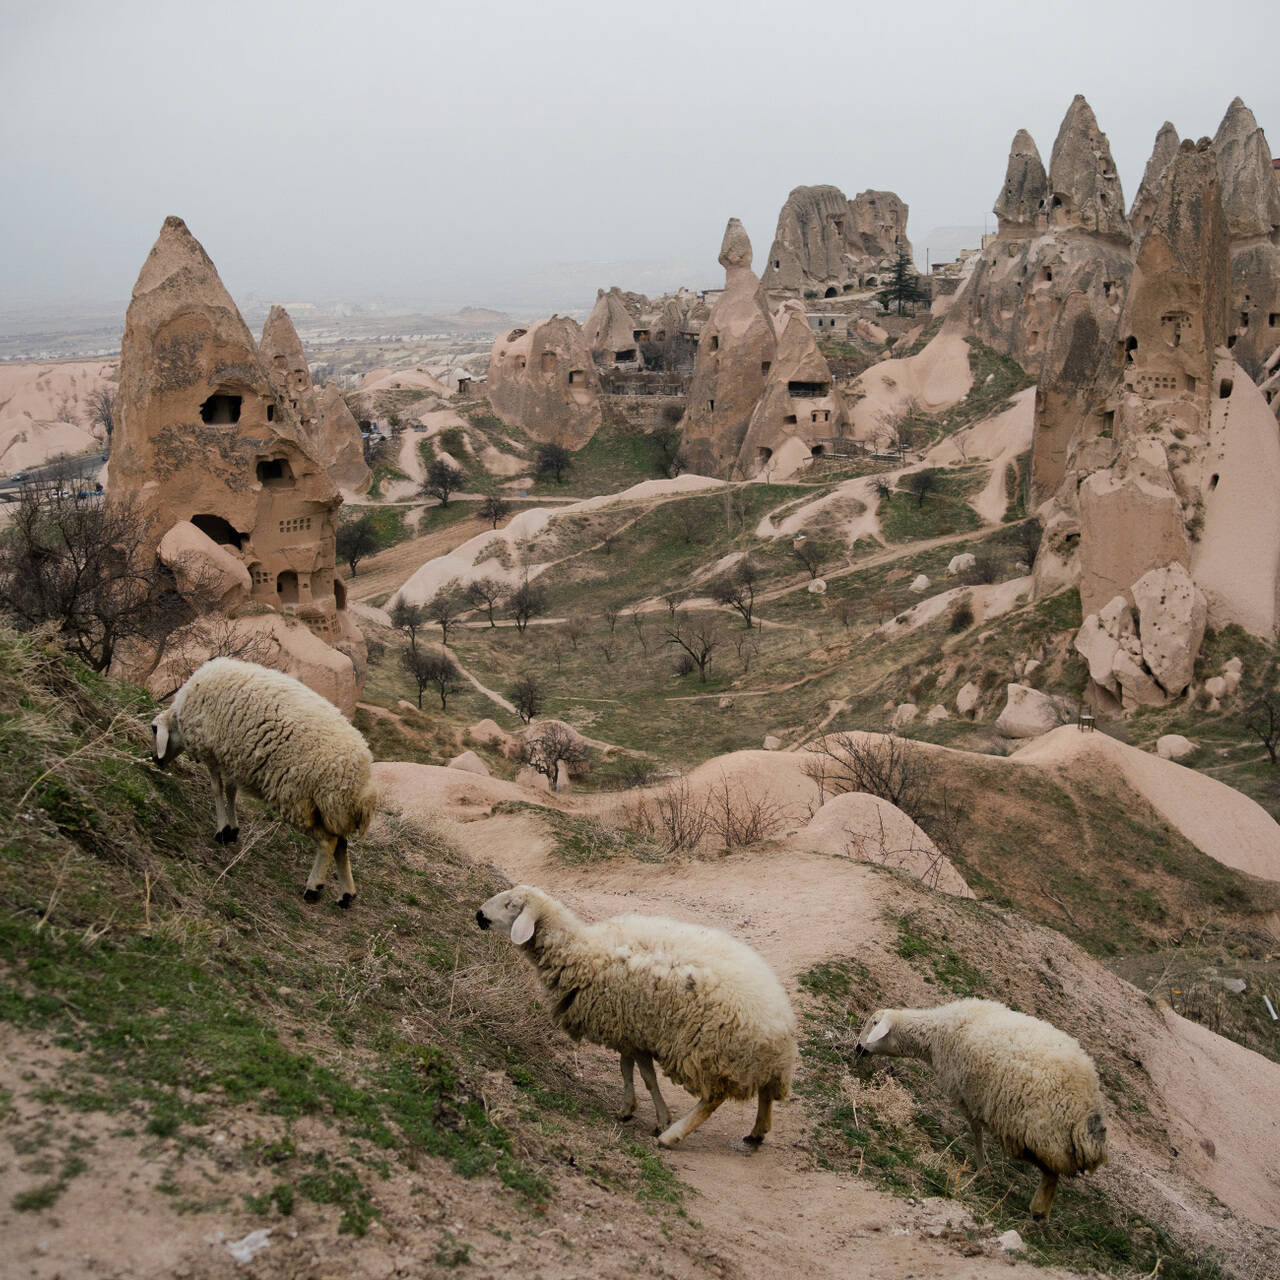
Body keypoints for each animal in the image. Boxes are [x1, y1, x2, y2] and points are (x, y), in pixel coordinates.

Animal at [150, 660, 376, 911]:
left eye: (153, 729)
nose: (155, 760)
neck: (181, 718)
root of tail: (361, 782)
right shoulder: (232, 758)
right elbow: (231, 791)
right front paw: (231, 830)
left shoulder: (212, 752)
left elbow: (217, 790)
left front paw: (221, 830)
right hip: (331, 810)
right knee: (341, 844)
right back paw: (346, 895)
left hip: (299, 799)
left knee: (328, 842)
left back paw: (313, 888)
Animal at [476, 890, 793, 1152]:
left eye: (511, 905)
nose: (479, 915)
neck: (578, 949)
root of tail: (779, 1028)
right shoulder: (627, 1032)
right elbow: (626, 1070)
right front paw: (628, 1109)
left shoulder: (633, 1032)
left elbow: (646, 1078)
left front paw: (661, 1119)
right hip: (753, 1064)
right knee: (766, 1093)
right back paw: (756, 1133)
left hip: (705, 1053)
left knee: (713, 1099)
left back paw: (672, 1136)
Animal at [860, 998, 1111, 1218]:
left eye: (873, 1023)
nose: (857, 1048)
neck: (935, 1034)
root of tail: (1087, 1110)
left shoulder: (965, 1097)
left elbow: (976, 1132)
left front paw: (982, 1167)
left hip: (1043, 1134)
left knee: (1051, 1172)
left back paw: (1038, 1211)